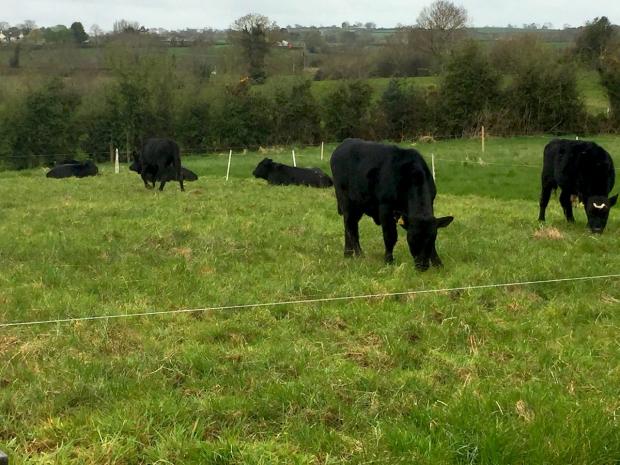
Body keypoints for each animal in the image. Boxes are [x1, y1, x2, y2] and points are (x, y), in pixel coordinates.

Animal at [332, 138, 452, 270]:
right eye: (412, 238)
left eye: (431, 238)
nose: (422, 266)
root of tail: (345, 142)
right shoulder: (386, 207)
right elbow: (390, 236)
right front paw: (388, 261)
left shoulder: (431, 202)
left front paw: (438, 263)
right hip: (346, 201)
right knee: (351, 227)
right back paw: (359, 255)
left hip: (358, 206)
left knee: (348, 226)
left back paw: (348, 254)